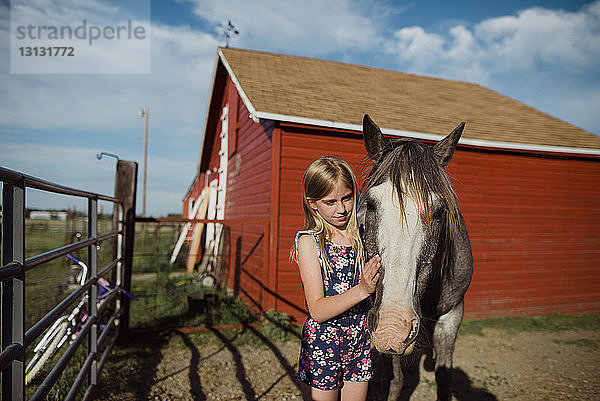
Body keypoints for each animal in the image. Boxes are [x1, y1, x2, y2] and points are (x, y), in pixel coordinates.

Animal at [360, 113, 474, 400]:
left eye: (439, 211)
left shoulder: (452, 315)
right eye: (371, 204)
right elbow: (396, 379)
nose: (393, 327)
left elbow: (444, 377)